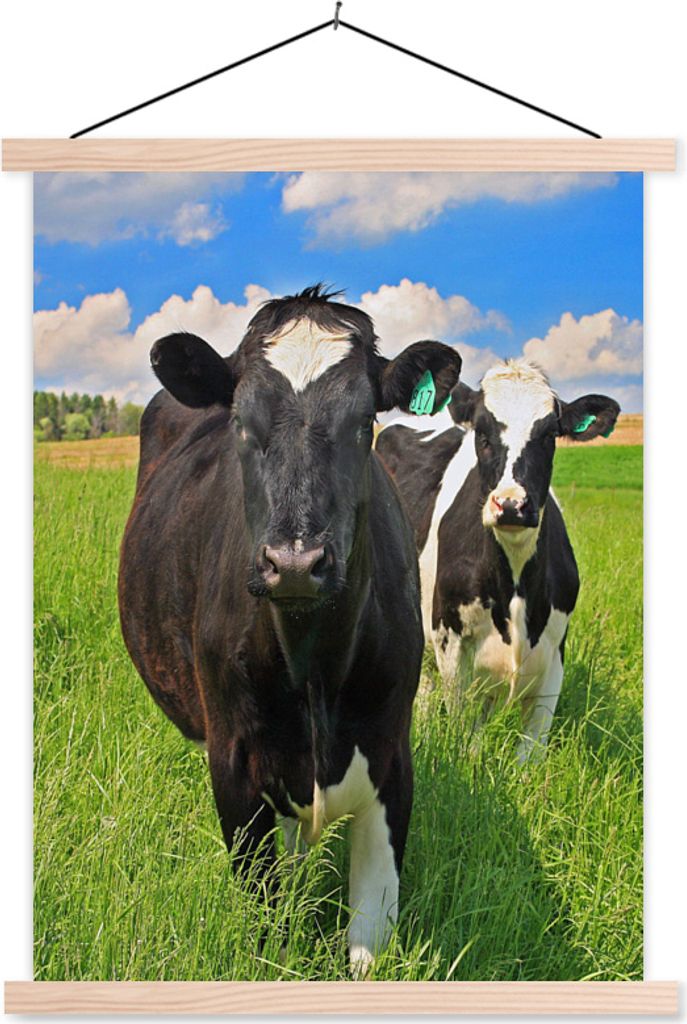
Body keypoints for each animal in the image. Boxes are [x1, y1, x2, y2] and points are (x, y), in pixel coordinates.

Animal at [118, 286, 462, 974]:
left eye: (365, 424)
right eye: (241, 423)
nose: (297, 562)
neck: (314, 669)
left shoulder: (392, 759)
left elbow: (370, 936)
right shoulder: (233, 764)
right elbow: (267, 923)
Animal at [376, 359, 620, 763]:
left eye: (549, 435)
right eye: (483, 433)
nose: (510, 504)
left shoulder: (555, 650)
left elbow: (530, 753)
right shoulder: (451, 643)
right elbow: (464, 734)